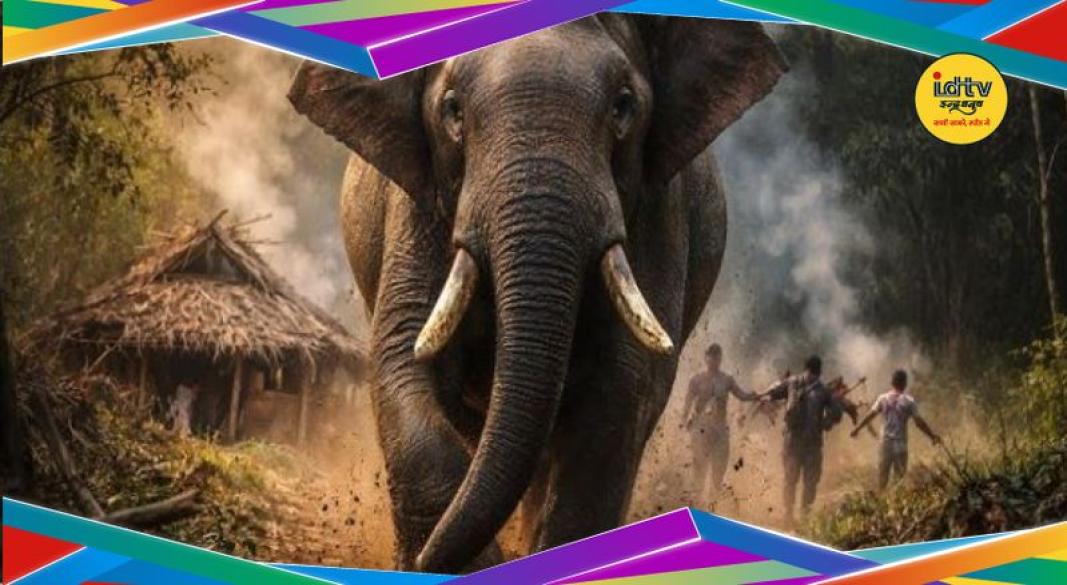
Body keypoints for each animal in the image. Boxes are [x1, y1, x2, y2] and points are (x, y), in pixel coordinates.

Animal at [288, 14, 785, 573]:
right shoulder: (415, 203)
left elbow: (621, 382)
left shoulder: (659, 206)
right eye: (452, 109)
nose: (422, 562)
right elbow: (404, 357)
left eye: (623, 106)